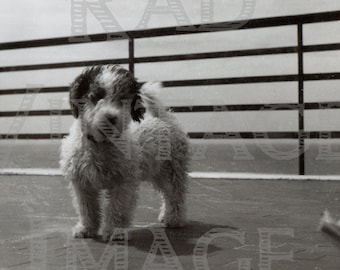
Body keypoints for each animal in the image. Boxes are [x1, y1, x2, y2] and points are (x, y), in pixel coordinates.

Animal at [60, 64, 190, 242]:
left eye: (123, 98)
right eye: (94, 96)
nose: (110, 117)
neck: (102, 144)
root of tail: (163, 118)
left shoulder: (123, 182)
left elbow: (118, 208)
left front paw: (114, 231)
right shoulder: (82, 184)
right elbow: (87, 209)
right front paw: (86, 229)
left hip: (173, 170)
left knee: (175, 195)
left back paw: (174, 218)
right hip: (158, 172)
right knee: (168, 195)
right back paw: (166, 216)